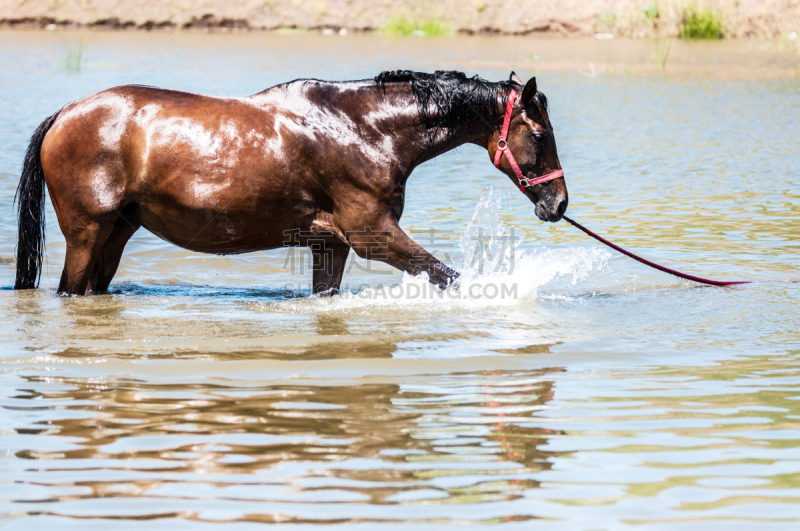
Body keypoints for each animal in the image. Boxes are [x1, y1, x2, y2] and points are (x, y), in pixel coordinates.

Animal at [10, 69, 564, 296]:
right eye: (538, 134)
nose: (557, 203)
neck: (364, 129)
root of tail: (65, 113)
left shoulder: (331, 244)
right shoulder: (373, 235)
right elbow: (448, 275)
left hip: (117, 233)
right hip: (86, 234)